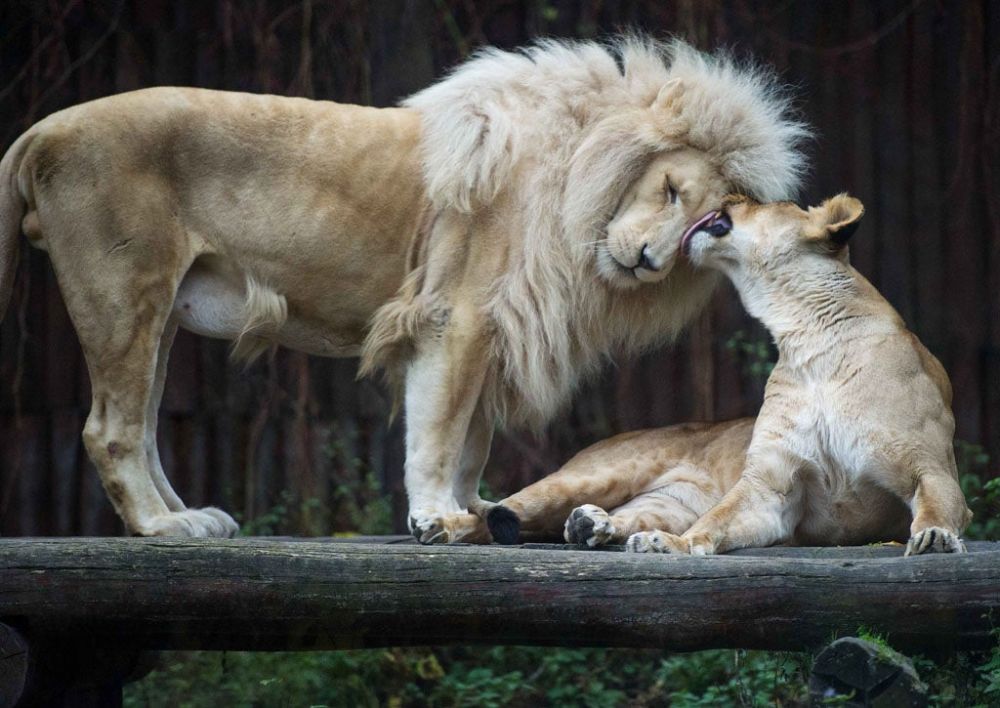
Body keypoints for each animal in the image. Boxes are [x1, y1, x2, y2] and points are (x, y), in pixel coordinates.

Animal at [0, 36, 808, 540]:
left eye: (708, 226)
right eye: (670, 189)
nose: (645, 260)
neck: (575, 188)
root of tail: (40, 130)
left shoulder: (493, 332)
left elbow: (473, 440)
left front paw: (475, 509)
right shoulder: (456, 320)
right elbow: (438, 431)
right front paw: (433, 517)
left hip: (159, 309)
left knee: (140, 427)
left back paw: (193, 517)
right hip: (123, 291)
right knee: (109, 429)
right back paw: (163, 526)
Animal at [464, 194, 972, 552]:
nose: (727, 194)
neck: (808, 338)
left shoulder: (929, 466)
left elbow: (937, 504)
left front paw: (934, 539)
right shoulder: (771, 485)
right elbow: (717, 520)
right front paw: (675, 546)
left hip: (661, 502)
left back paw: (592, 525)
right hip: (592, 475)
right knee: (494, 513)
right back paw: (454, 526)